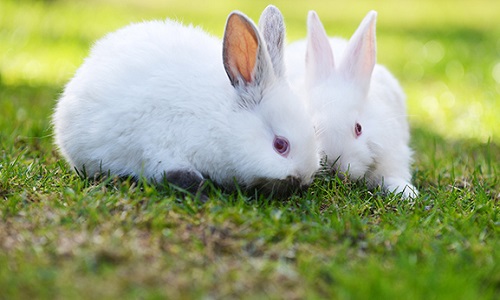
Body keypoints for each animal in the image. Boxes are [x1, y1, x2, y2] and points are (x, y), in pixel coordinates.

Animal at [52, 5, 320, 197]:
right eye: (280, 145)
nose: (304, 180)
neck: (223, 123)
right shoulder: (163, 150)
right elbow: (181, 178)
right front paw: (204, 194)